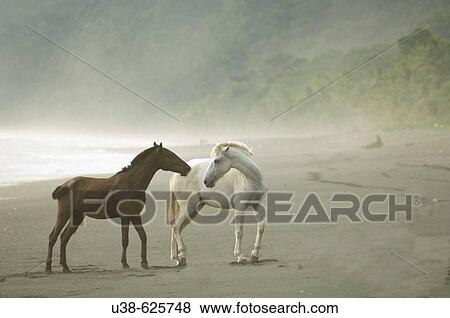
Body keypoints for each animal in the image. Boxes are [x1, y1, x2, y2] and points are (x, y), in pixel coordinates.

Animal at [46, 142, 192, 274]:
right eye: (170, 155)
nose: (187, 168)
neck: (131, 183)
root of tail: (64, 185)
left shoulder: (135, 215)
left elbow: (143, 236)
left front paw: (144, 262)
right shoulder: (125, 217)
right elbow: (125, 240)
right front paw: (125, 263)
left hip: (76, 217)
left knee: (64, 238)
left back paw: (65, 267)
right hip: (64, 213)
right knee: (53, 237)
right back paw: (48, 268)